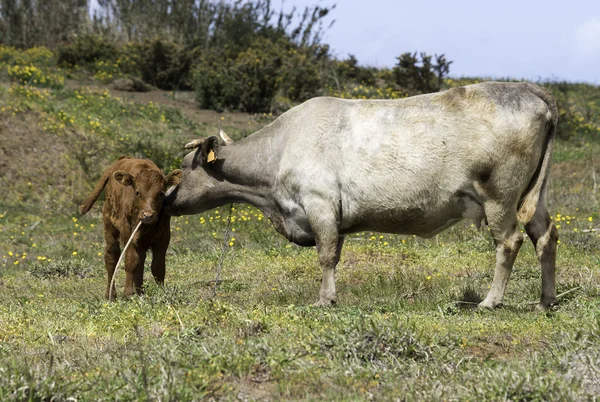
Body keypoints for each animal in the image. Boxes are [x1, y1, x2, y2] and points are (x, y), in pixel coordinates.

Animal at [81, 156, 182, 298]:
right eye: (138, 192)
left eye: (161, 193)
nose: (148, 215)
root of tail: (122, 158)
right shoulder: (127, 233)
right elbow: (131, 261)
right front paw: (128, 293)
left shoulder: (164, 236)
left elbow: (158, 266)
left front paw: (161, 291)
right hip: (109, 225)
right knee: (112, 256)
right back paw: (111, 295)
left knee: (141, 259)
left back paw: (140, 292)